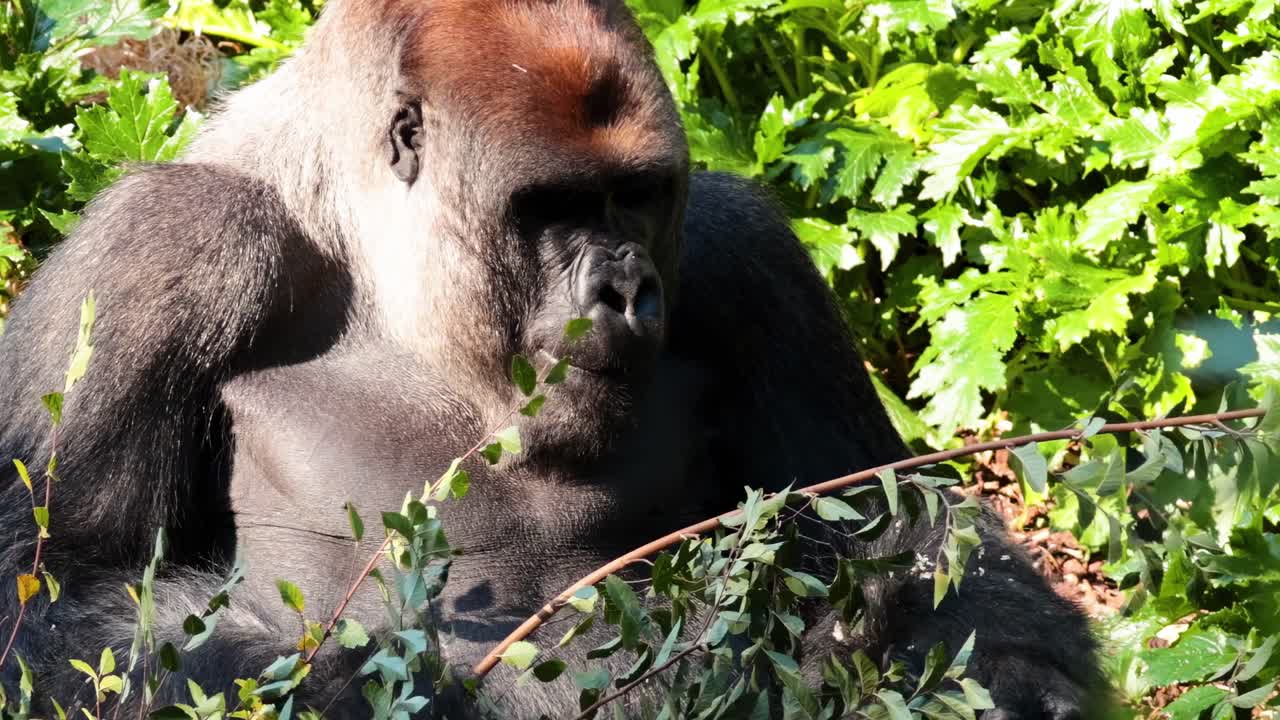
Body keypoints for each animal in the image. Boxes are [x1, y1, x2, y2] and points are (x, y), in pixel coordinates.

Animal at [0, 1, 1102, 717]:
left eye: (637, 196)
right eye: (552, 207)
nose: (624, 288)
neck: (375, 261)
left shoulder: (744, 252)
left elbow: (897, 522)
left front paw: (939, 659)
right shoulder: (170, 247)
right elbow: (48, 597)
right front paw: (352, 688)